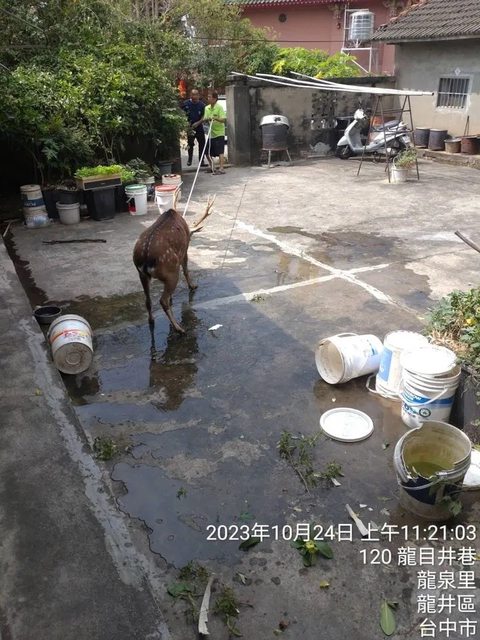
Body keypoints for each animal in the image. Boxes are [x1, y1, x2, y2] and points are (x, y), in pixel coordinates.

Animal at [133, 195, 215, 334]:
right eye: (190, 236)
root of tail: (145, 256)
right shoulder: (184, 249)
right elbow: (186, 269)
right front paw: (193, 286)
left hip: (141, 274)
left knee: (148, 300)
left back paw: (151, 320)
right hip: (171, 270)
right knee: (163, 300)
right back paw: (179, 328)